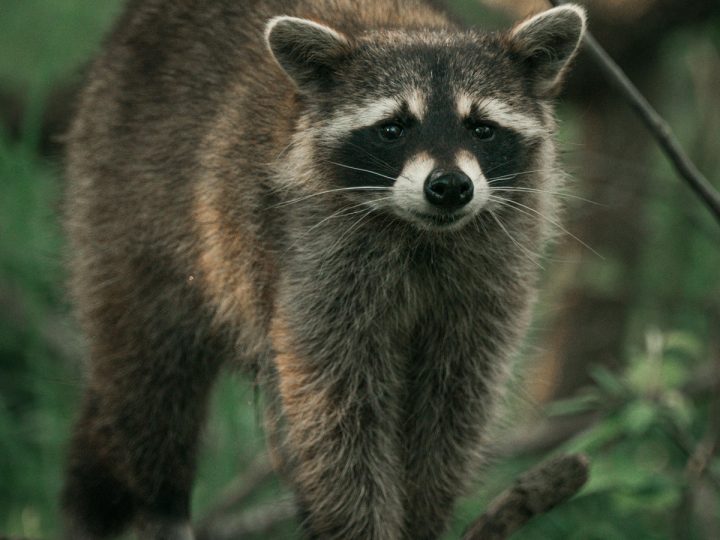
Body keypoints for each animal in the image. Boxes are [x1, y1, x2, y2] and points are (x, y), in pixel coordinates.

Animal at [61, 1, 586, 538]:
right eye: (393, 128)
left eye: (481, 127)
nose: (450, 187)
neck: (422, 236)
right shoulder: (313, 270)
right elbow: (334, 418)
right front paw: (358, 524)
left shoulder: (486, 289)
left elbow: (452, 408)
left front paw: (424, 514)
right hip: (129, 199)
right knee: (149, 380)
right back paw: (157, 498)